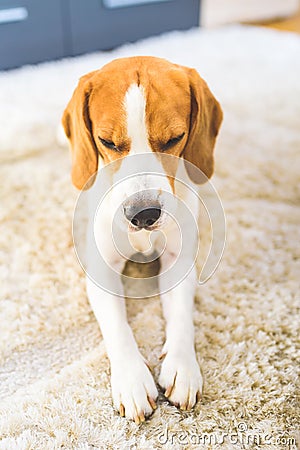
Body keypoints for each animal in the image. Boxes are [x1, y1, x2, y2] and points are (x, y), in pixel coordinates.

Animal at [62, 55, 223, 422]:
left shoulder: (179, 263)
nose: (144, 215)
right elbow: (118, 328)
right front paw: (132, 379)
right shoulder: (100, 273)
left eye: (175, 138)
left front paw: (182, 366)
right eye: (107, 142)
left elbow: (182, 318)